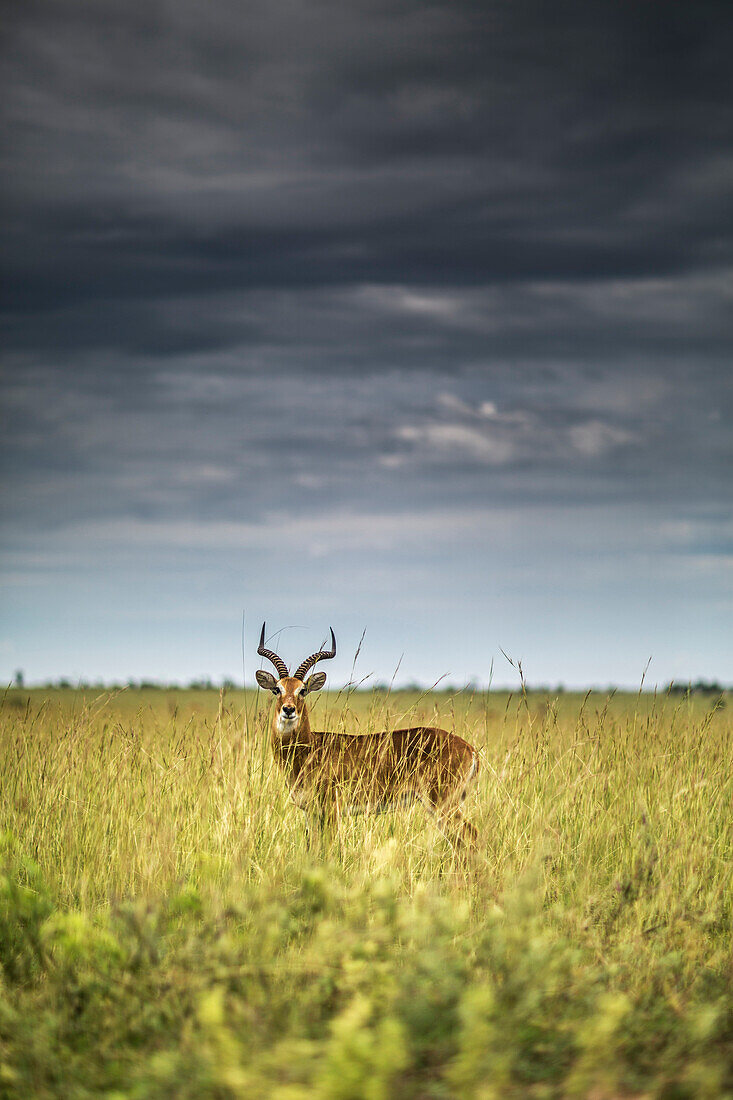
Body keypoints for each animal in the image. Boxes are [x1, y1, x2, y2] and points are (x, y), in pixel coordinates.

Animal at [256, 620, 479, 849]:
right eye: (277, 689)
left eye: (302, 690)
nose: (288, 709)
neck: (309, 750)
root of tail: (470, 749)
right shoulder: (311, 813)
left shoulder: (332, 809)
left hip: (442, 804)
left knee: (471, 836)